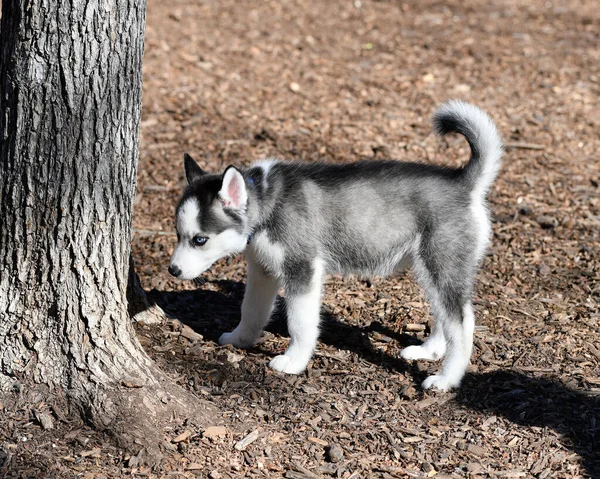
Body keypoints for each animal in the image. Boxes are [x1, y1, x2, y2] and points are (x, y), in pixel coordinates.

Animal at [171, 101, 504, 390]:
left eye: (200, 239)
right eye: (178, 234)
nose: (172, 270)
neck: (265, 203)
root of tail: (464, 183)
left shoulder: (302, 270)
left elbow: (300, 323)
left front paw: (293, 361)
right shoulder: (262, 271)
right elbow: (251, 309)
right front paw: (240, 339)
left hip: (441, 262)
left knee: (462, 323)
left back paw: (446, 379)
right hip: (430, 269)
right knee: (445, 315)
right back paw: (430, 351)